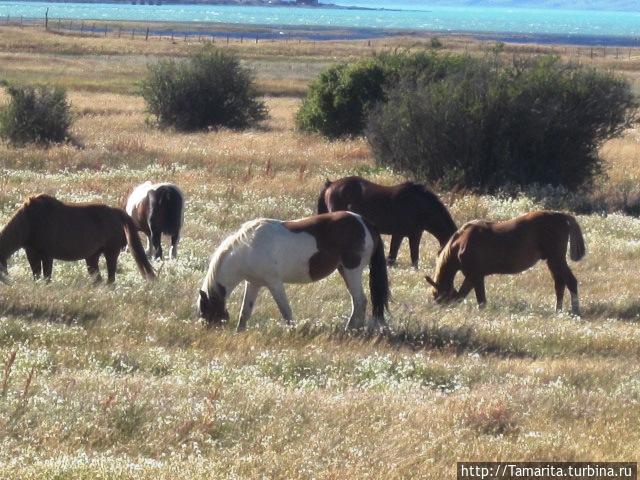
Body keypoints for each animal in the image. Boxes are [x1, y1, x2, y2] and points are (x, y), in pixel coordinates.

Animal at [0, 193, 156, 284]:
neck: (30, 221)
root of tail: (117, 213)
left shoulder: (47, 255)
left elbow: (47, 276)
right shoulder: (32, 253)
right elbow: (36, 275)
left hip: (111, 252)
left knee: (111, 279)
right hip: (92, 257)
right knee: (98, 279)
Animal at [198, 212, 390, 332]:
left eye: (206, 311)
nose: (208, 331)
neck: (248, 248)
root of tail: (366, 223)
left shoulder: (274, 284)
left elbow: (285, 310)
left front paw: (293, 331)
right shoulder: (253, 283)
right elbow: (245, 311)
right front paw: (239, 332)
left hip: (352, 271)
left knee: (360, 301)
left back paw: (351, 330)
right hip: (344, 271)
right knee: (357, 301)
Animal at [316, 175, 456, 266]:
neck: (418, 205)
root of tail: (331, 184)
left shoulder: (415, 235)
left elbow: (414, 258)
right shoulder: (398, 234)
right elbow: (392, 257)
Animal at [424, 210, 584, 316]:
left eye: (437, 297)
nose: (437, 311)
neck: (461, 242)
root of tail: (561, 216)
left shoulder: (476, 276)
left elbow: (481, 300)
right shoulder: (471, 277)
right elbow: (462, 295)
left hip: (556, 259)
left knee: (570, 281)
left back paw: (575, 311)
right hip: (552, 261)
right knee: (559, 284)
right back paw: (558, 311)